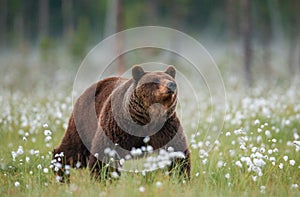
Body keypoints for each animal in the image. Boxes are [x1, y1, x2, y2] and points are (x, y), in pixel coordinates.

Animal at [52, 65, 190, 182]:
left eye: (170, 79)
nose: (171, 85)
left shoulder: (165, 128)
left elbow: (177, 152)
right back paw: (60, 170)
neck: (147, 120)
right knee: (73, 150)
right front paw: (103, 179)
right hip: (84, 121)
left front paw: (181, 178)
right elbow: (105, 152)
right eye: (155, 81)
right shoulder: (119, 127)